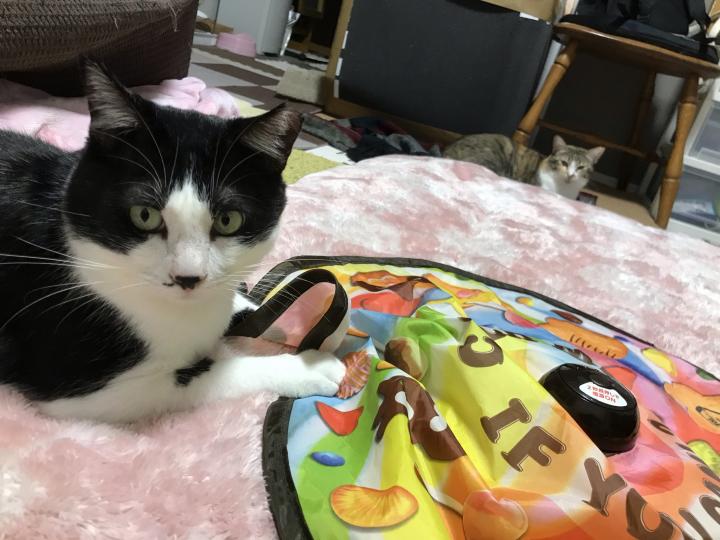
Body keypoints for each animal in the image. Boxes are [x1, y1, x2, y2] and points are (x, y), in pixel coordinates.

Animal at [0, 62, 346, 423]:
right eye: (144, 215)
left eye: (228, 220)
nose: (188, 278)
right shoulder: (77, 384)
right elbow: (206, 374)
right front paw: (305, 367)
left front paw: (308, 319)